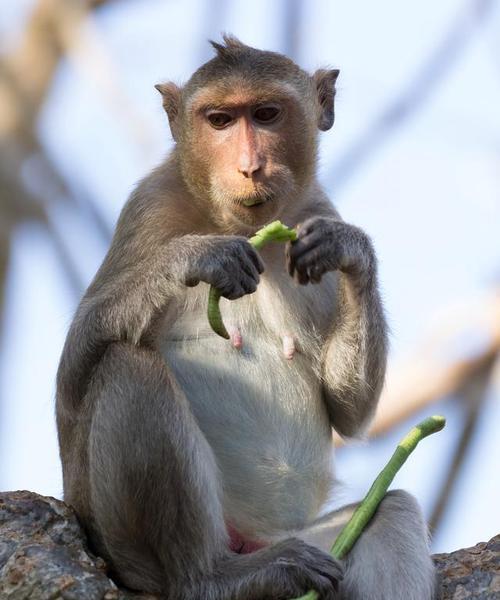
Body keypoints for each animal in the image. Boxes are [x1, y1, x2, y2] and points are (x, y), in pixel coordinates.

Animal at [56, 36, 436, 600]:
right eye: (219, 120)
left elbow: (348, 411)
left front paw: (351, 252)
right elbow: (72, 380)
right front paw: (196, 258)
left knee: (390, 515)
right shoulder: (147, 209)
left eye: (266, 114)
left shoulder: (314, 211)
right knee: (128, 366)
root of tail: (249, 541)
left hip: (310, 543)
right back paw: (212, 577)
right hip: (125, 550)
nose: (250, 167)